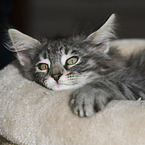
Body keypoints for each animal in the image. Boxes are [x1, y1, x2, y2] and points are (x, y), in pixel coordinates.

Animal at [7, 14, 145, 117]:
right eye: (43, 67)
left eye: (72, 61)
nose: (55, 75)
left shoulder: (138, 81)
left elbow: (109, 83)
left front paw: (87, 96)